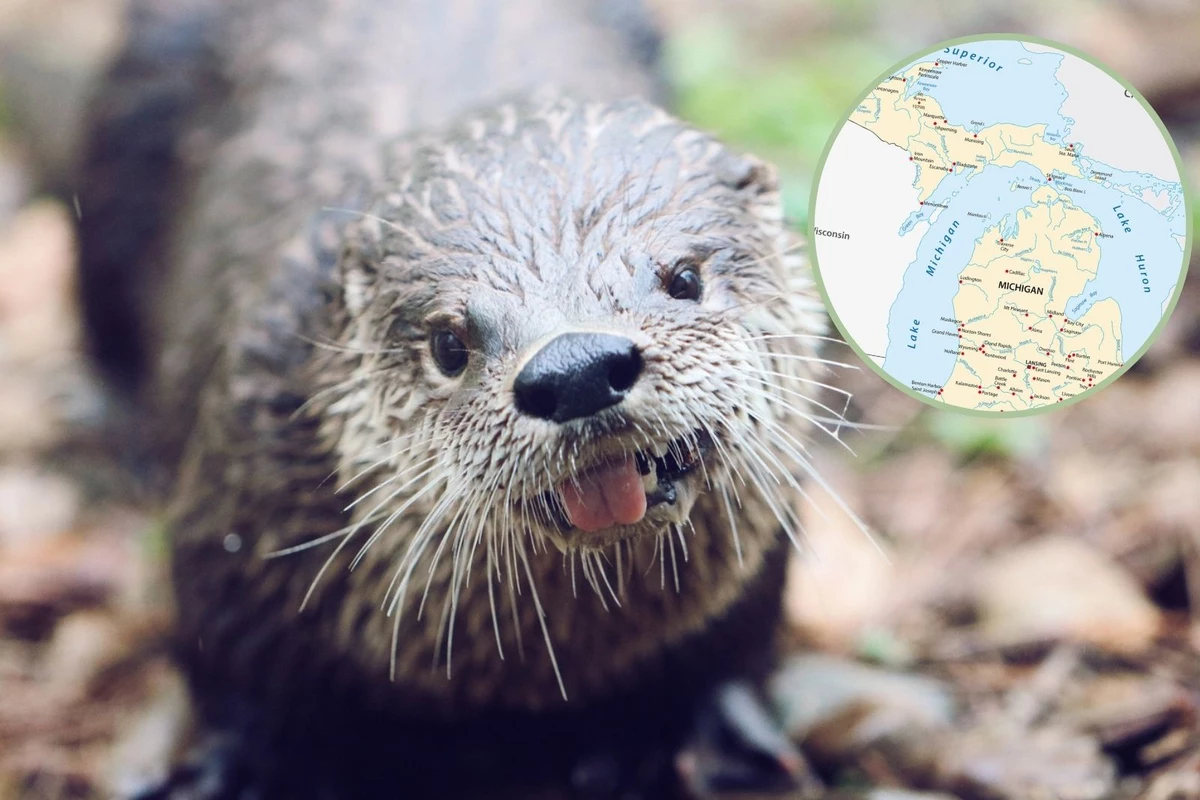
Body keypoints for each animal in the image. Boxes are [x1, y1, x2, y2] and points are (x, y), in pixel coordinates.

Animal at [77, 0, 832, 797]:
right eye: (448, 343)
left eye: (684, 277)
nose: (576, 367)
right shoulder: (238, 499)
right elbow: (233, 674)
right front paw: (230, 770)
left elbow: (734, 640)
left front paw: (712, 730)